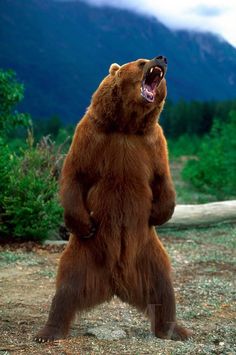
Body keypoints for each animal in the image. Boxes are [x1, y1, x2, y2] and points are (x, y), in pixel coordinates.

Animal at [35, 57, 192, 344]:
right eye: (141, 61)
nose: (161, 58)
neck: (125, 126)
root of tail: (116, 283)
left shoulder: (153, 143)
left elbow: (162, 179)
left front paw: (158, 214)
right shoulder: (91, 135)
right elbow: (75, 174)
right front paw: (84, 224)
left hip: (150, 256)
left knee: (163, 288)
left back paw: (174, 330)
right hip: (82, 256)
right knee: (65, 289)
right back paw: (48, 331)